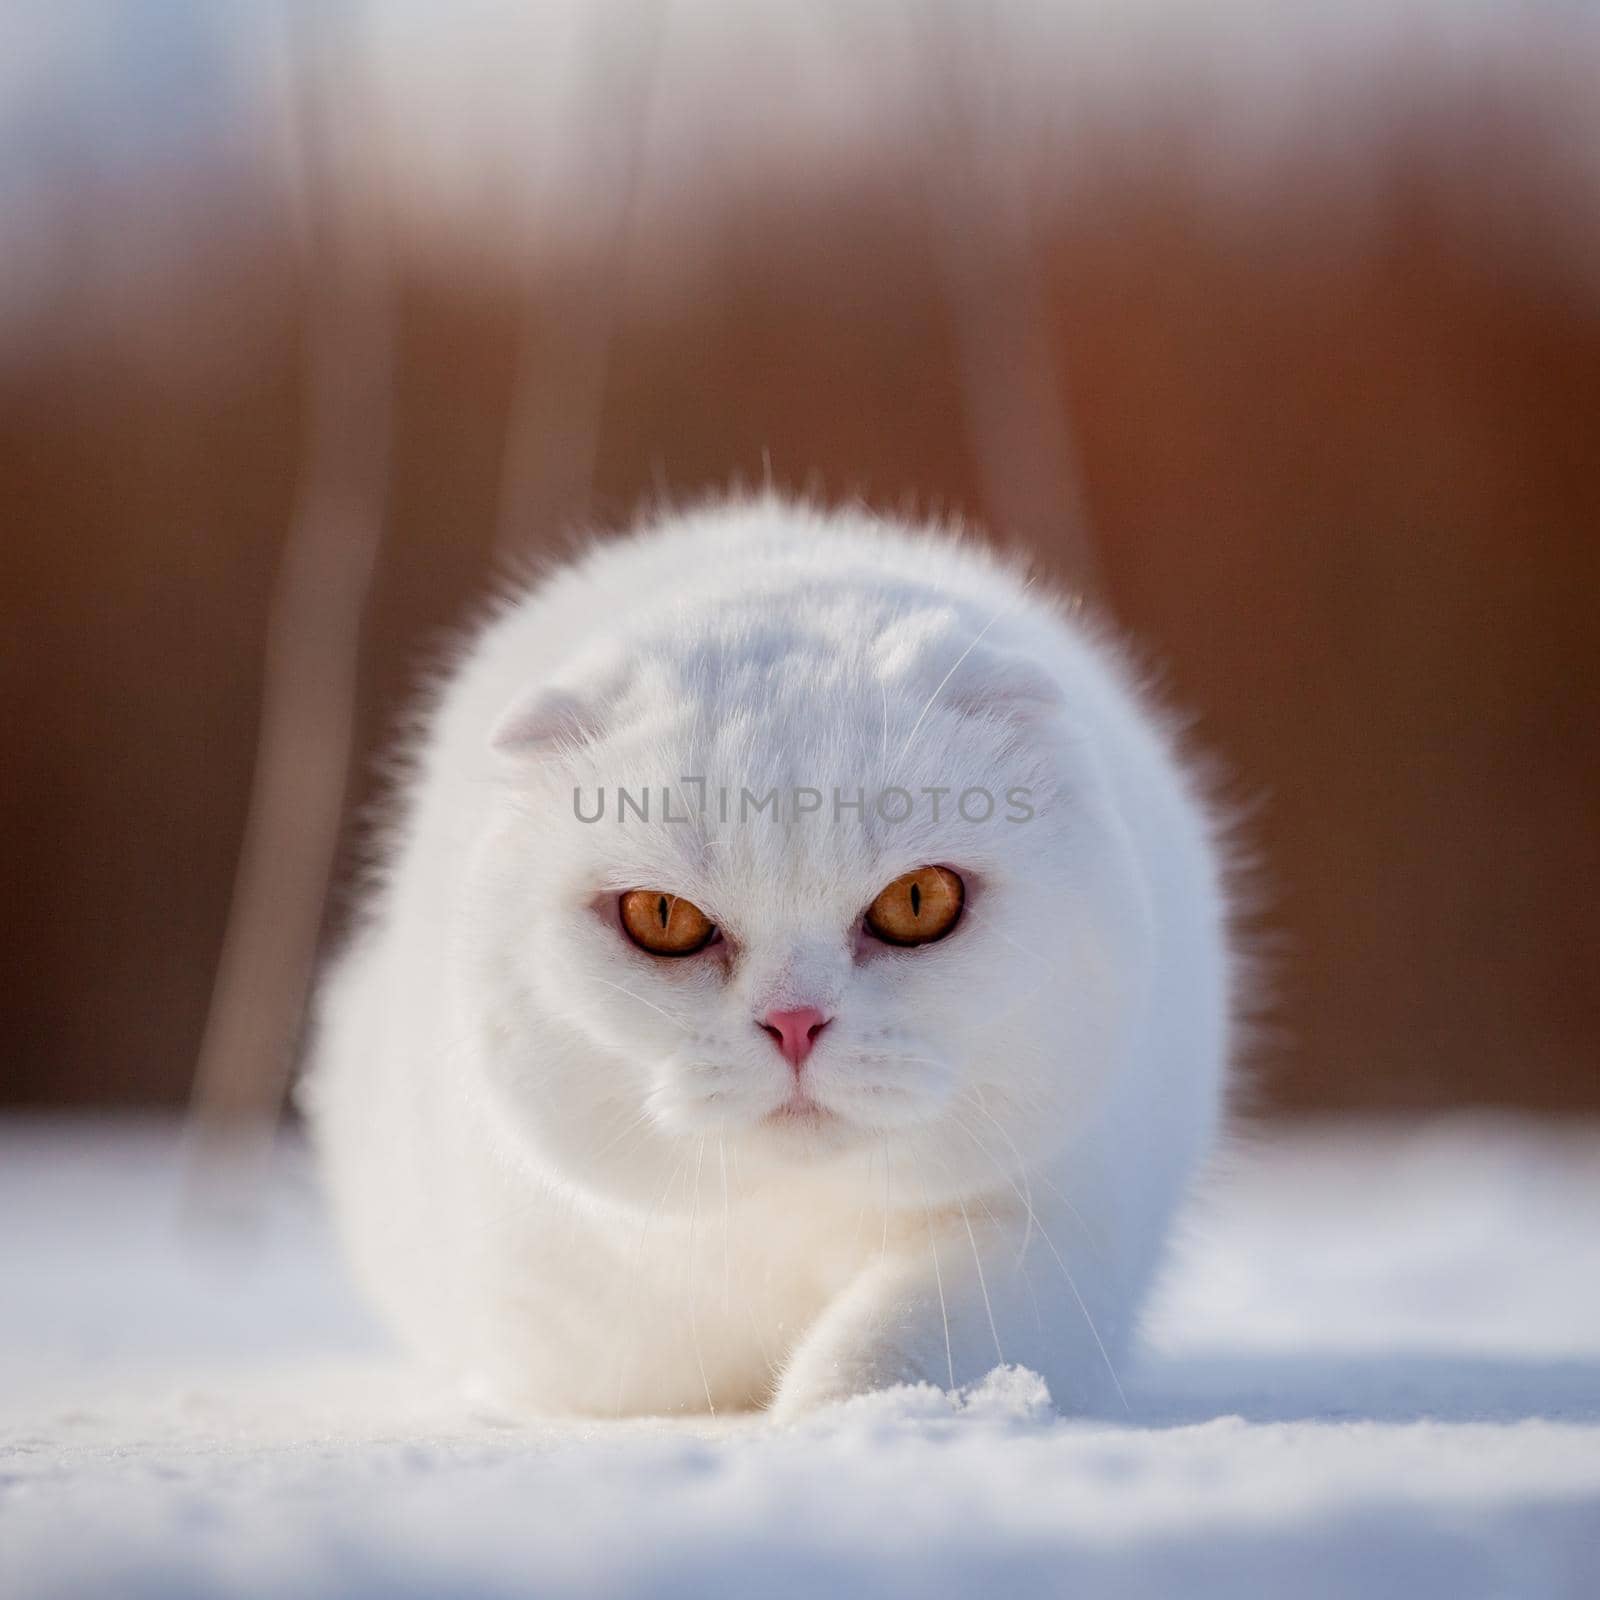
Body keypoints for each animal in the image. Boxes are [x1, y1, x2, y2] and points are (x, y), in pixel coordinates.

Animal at [302, 492, 1235, 1420]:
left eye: (917, 901)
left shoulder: (1056, 1235)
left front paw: (846, 1424)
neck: (785, 1233)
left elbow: (898, 1344)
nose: (795, 1022)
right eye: (664, 916)